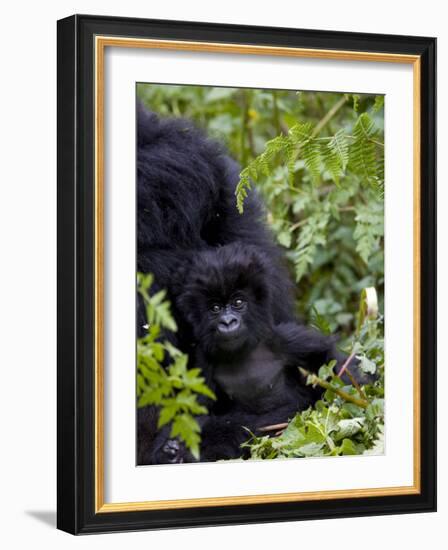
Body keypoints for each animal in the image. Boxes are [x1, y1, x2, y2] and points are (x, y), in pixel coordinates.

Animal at [151, 244, 368, 464]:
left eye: (238, 302)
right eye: (215, 308)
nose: (228, 322)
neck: (241, 353)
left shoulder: (284, 339)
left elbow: (328, 360)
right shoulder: (201, 366)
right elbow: (193, 414)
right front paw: (172, 448)